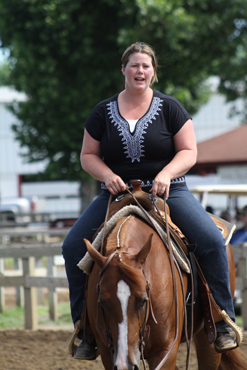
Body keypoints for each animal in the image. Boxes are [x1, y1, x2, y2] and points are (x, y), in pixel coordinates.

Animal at [77, 184, 247, 370]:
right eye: (102, 301)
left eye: (143, 300)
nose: (125, 363)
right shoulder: (107, 352)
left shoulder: (166, 350)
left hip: (207, 339)